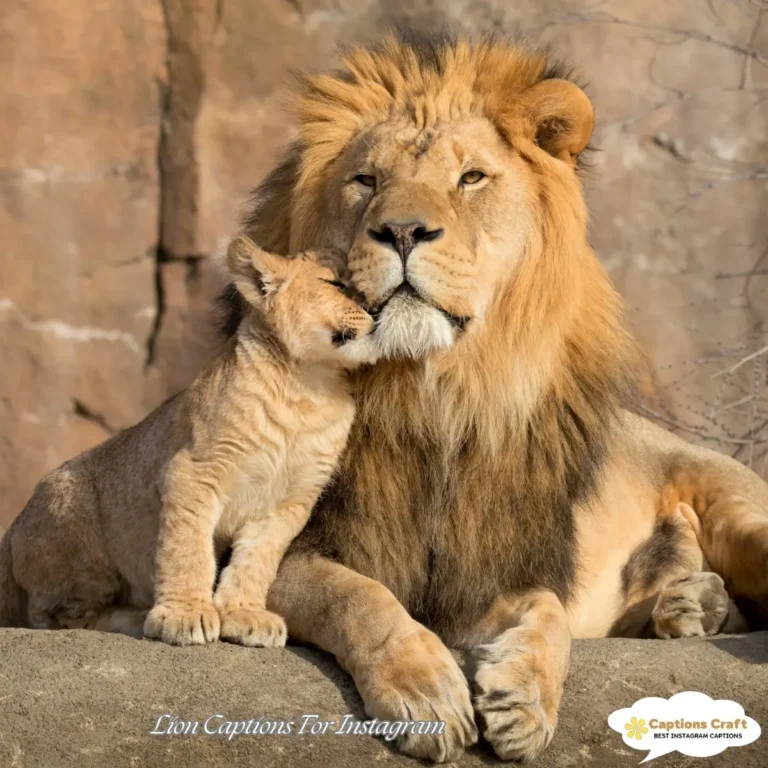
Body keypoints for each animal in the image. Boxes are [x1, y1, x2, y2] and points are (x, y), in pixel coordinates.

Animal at [221, 31, 766, 763]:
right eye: (367, 181)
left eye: (471, 178)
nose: (402, 231)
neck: (434, 396)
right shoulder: (279, 546)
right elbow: (359, 597)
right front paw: (425, 693)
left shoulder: (494, 566)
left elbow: (548, 612)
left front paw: (524, 701)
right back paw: (688, 605)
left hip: (734, 505)